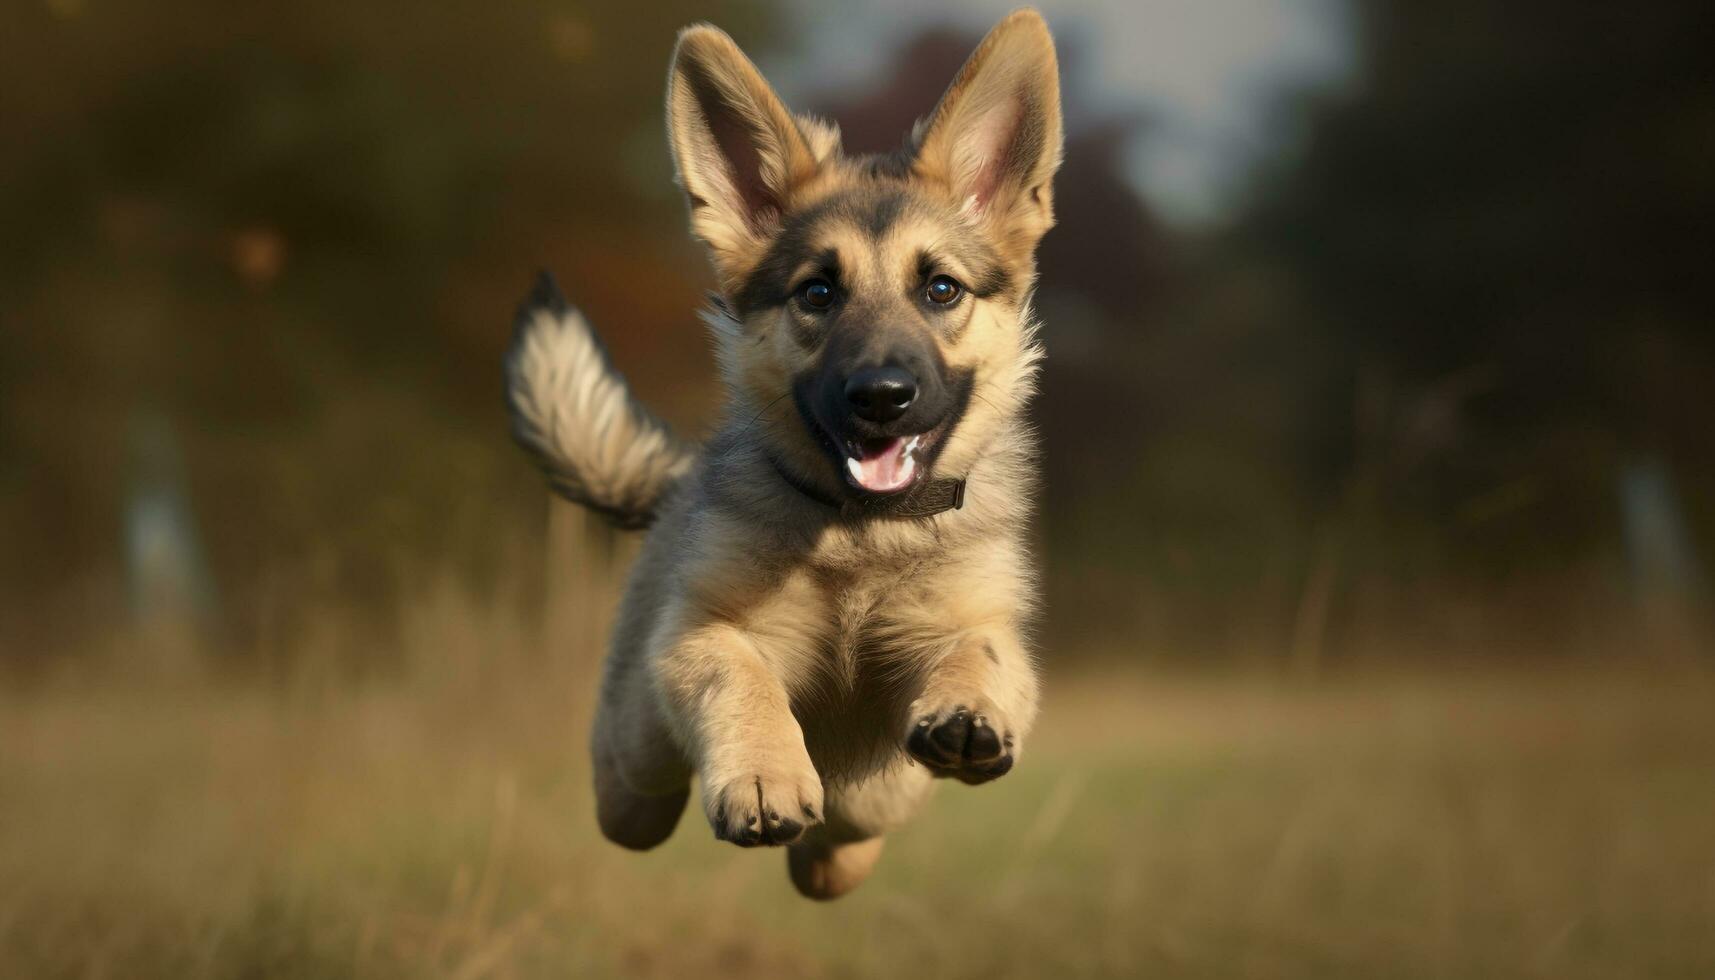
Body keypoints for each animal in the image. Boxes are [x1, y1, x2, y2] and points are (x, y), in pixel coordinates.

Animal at [500, 9, 1049, 906]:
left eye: (940, 290)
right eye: (817, 293)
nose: (881, 396)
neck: (863, 535)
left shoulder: (970, 626)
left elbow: (976, 660)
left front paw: (959, 717)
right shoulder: (701, 634)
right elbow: (741, 679)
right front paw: (764, 777)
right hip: (633, 757)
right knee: (631, 800)